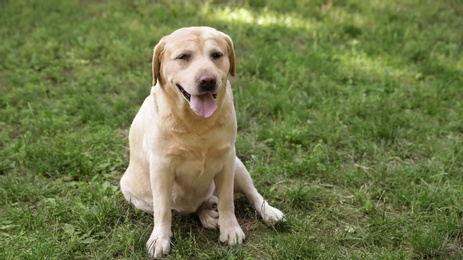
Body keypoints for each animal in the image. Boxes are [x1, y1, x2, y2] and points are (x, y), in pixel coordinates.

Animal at [119, 26, 286, 258]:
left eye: (216, 55)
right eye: (183, 57)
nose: (207, 80)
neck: (196, 123)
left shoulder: (226, 160)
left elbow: (227, 201)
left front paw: (230, 229)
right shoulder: (161, 167)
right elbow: (163, 210)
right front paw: (160, 239)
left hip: (238, 164)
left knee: (253, 194)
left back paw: (267, 212)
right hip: (132, 193)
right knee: (186, 207)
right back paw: (207, 214)